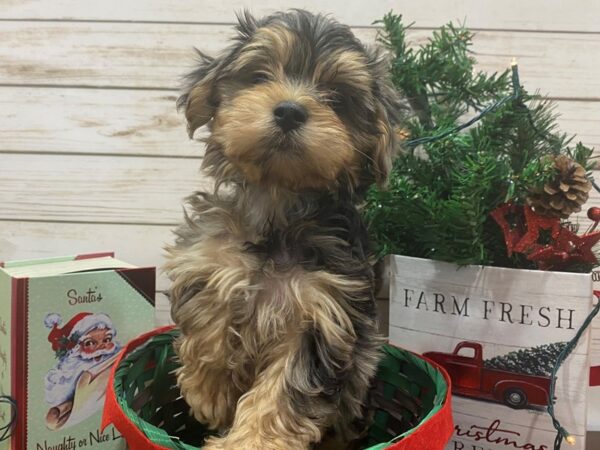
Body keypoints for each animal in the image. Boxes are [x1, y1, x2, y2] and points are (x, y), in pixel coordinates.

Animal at [165, 10, 404, 450]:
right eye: (259, 76)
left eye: (337, 97)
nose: (290, 111)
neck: (280, 202)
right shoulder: (208, 255)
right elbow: (212, 301)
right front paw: (210, 391)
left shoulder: (322, 314)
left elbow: (286, 386)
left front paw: (251, 441)